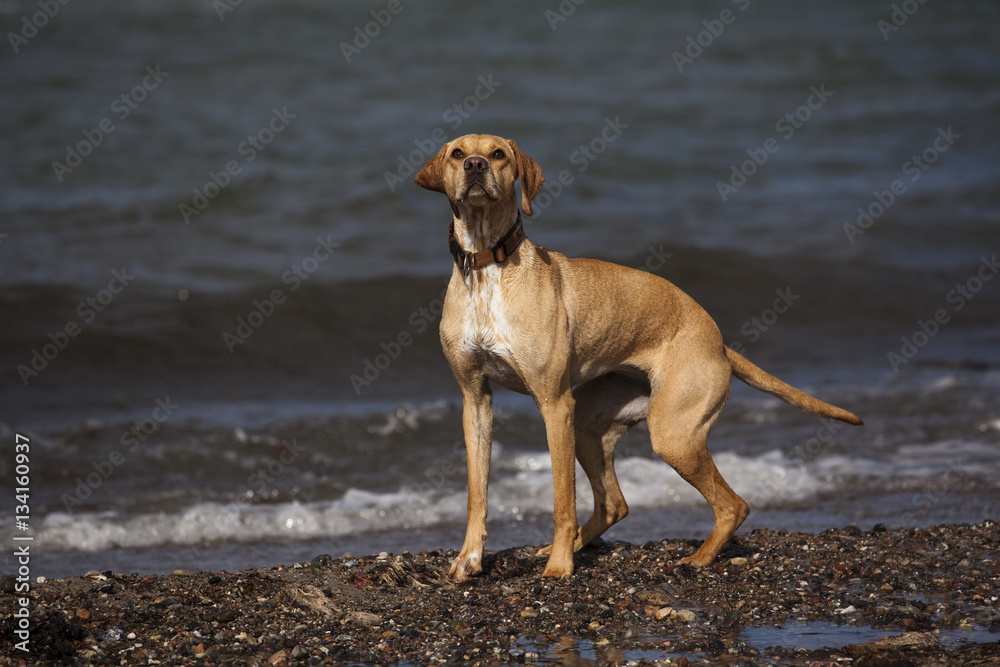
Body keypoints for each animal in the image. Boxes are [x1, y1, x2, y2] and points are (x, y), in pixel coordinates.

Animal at [414, 133, 860, 580]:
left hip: (672, 435)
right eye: (458, 153)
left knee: (733, 505)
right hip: (591, 425)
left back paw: (695, 559)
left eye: (499, 155)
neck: (487, 265)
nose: (474, 166)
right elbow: (476, 493)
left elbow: (562, 501)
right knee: (616, 504)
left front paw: (559, 568)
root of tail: (717, 341)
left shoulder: (554, 404)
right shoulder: (476, 400)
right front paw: (469, 558)